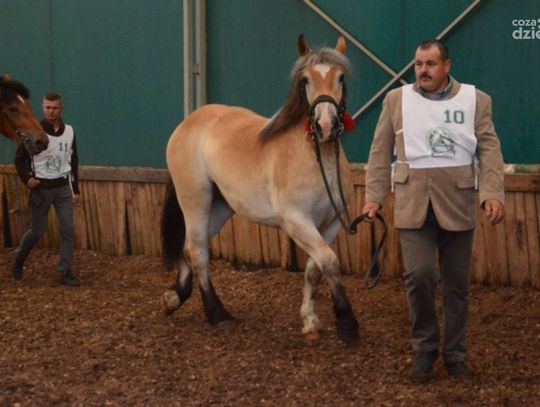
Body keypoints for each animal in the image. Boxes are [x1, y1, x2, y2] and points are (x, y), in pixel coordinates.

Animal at [161, 35, 360, 344]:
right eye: (305, 80)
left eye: (340, 78)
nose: (325, 125)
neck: (316, 158)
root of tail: (188, 122)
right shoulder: (296, 221)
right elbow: (329, 261)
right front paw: (347, 323)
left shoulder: (329, 223)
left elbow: (315, 269)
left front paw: (310, 321)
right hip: (195, 200)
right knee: (196, 251)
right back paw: (218, 315)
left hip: (221, 206)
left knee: (191, 246)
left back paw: (175, 298)